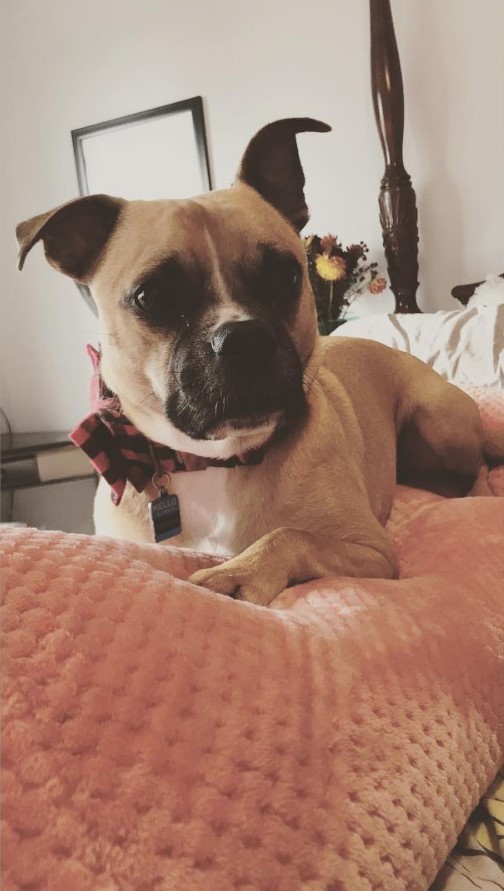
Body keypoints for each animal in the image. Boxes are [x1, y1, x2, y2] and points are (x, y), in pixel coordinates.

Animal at [16, 118, 500, 608]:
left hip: (438, 422)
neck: (213, 461)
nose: (243, 339)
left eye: (286, 275)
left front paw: (236, 572)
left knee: (477, 467)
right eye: (151, 296)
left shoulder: (373, 550)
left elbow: (290, 534)